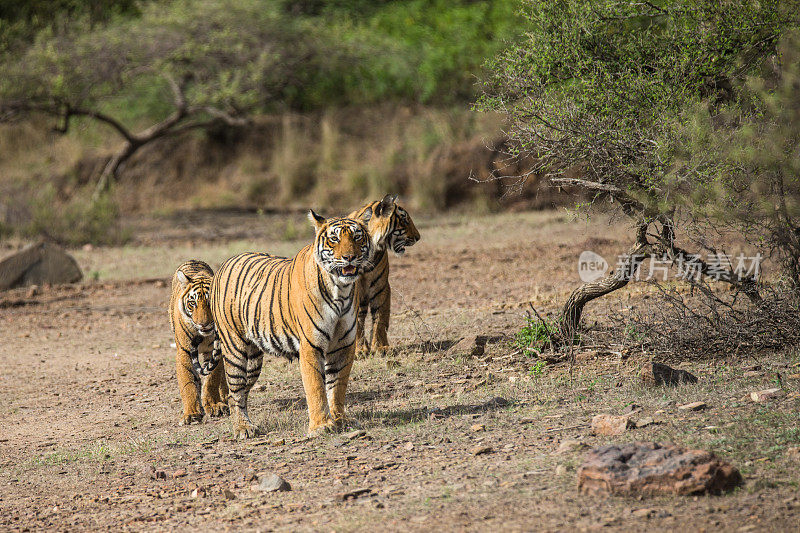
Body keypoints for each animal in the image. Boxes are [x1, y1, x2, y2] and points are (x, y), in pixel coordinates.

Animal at [168, 260, 228, 426]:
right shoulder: (184, 352)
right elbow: (188, 382)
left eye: (209, 302)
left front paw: (214, 405)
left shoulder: (216, 350)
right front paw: (191, 413)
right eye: (192, 303)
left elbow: (212, 379)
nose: (203, 324)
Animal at [212, 210, 376, 438]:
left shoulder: (344, 345)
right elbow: (316, 387)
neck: (340, 291)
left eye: (357, 237)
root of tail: (226, 263)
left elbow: (338, 386)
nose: (349, 257)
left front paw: (341, 420)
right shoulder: (311, 345)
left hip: (253, 359)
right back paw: (243, 428)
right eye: (334, 239)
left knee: (240, 392)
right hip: (234, 348)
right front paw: (321, 426)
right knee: (235, 391)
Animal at [348, 193, 422, 356]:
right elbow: (355, 323)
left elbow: (380, 318)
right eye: (405, 220)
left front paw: (381, 347)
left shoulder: (381, 286)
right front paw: (360, 350)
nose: (418, 237)